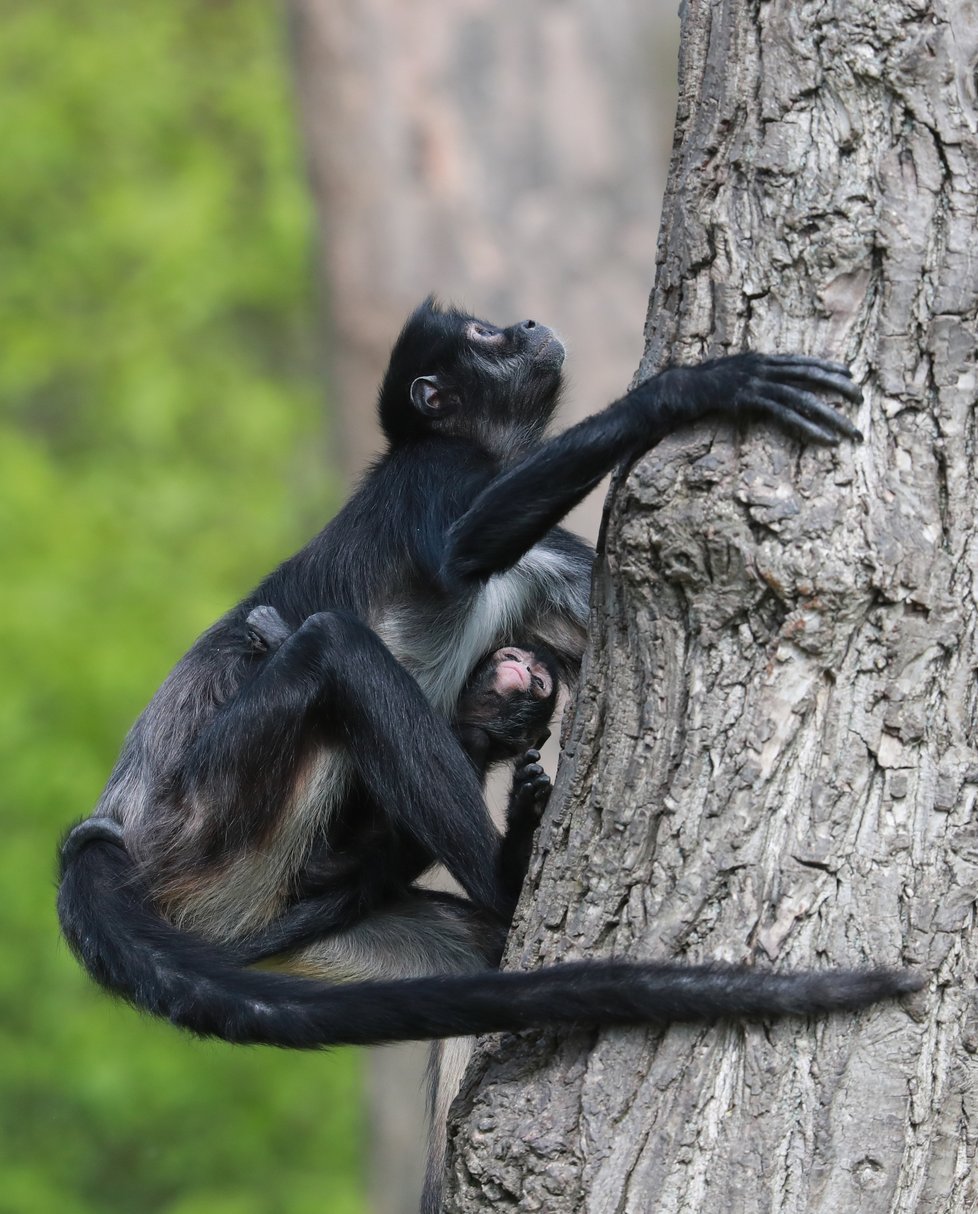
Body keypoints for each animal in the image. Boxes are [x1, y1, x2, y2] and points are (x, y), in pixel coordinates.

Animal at [59, 296, 917, 1053]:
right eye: (484, 334)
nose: (526, 324)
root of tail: (119, 820)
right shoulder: (439, 467)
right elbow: (460, 551)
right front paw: (694, 389)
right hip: (210, 817)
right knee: (332, 645)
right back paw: (506, 871)